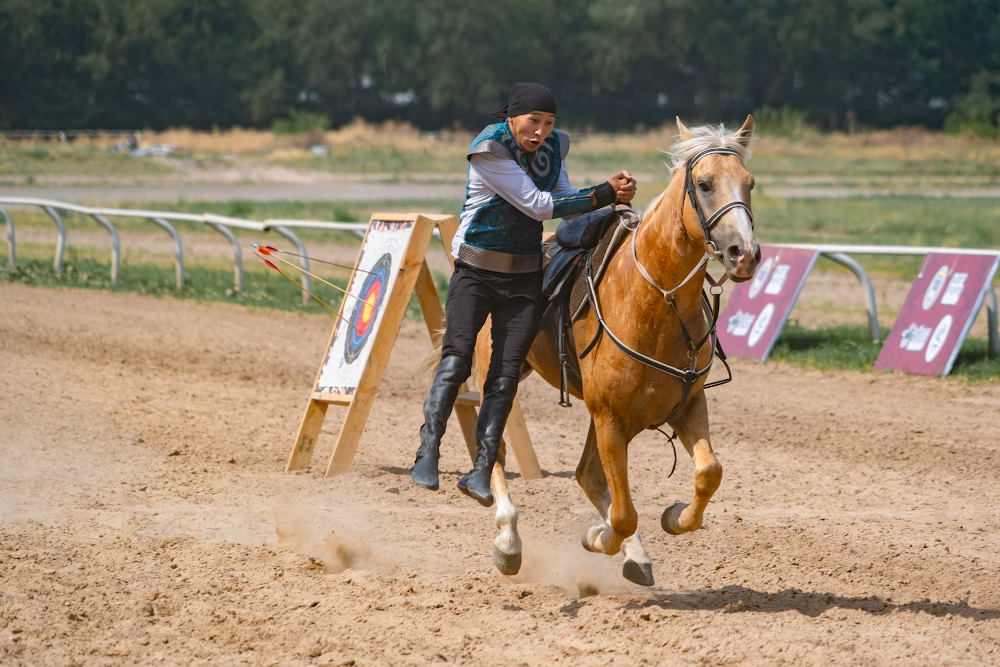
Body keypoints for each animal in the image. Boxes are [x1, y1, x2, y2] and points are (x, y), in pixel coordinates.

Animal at [476, 117, 756, 588]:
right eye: (703, 184)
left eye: (750, 183)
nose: (745, 254)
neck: (654, 304)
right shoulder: (609, 417)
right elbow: (623, 514)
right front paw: (597, 536)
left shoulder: (687, 404)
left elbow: (708, 473)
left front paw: (674, 517)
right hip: (498, 376)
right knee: (493, 449)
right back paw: (508, 543)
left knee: (587, 474)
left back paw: (635, 555)